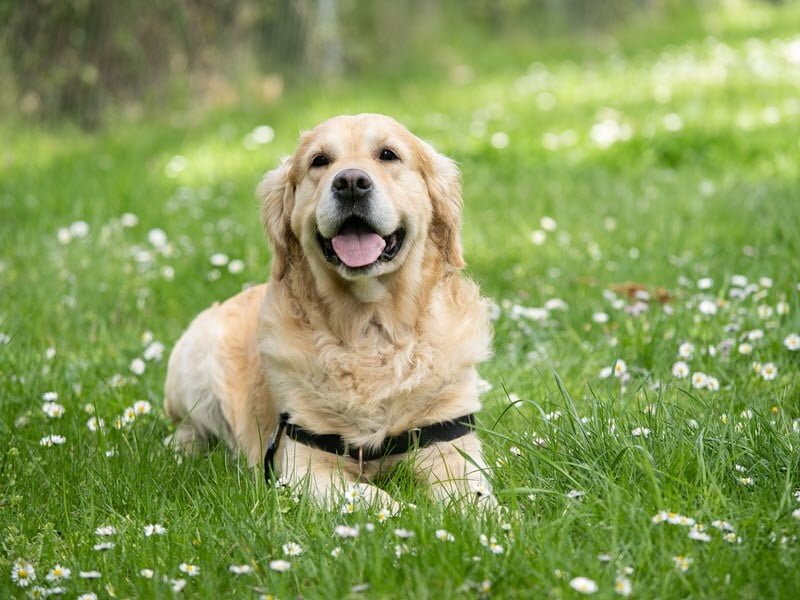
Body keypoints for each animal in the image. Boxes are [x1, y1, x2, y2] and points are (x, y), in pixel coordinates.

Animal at [164, 115, 494, 508]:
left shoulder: (450, 445)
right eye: (319, 161)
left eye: (388, 155)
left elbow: (473, 496)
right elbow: (374, 497)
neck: (370, 329)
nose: (350, 183)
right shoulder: (304, 466)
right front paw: (407, 512)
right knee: (189, 426)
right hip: (194, 359)